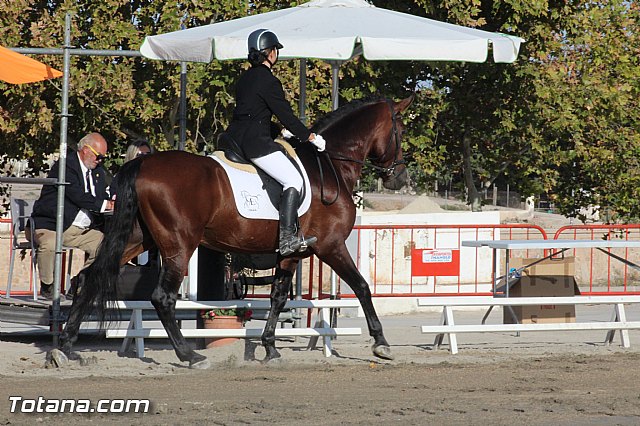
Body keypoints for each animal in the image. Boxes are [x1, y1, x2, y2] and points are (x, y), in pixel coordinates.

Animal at [60, 95, 416, 368]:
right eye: (401, 129)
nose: (399, 178)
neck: (329, 164)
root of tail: (142, 164)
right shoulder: (331, 246)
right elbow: (362, 286)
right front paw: (381, 343)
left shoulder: (291, 253)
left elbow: (278, 296)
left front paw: (270, 347)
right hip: (179, 245)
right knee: (162, 297)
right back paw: (189, 355)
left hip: (137, 238)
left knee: (91, 277)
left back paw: (64, 347)